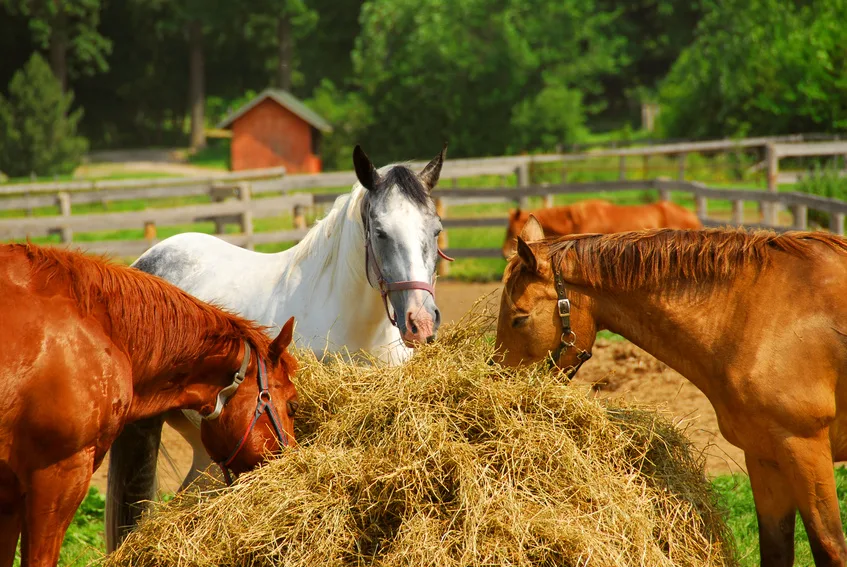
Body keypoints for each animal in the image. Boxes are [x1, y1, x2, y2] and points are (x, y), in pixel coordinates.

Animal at [494, 215, 847, 564]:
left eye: (519, 319)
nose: (500, 381)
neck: (757, 312)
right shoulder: (764, 457)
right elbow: (776, 548)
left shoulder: (805, 449)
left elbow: (830, 547)